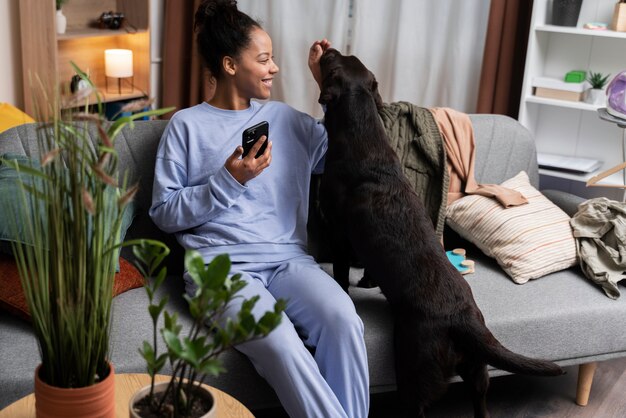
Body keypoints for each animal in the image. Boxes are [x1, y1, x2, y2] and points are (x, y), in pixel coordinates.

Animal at [316, 47, 560, 416]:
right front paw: (369, 281)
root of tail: (465, 322)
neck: (364, 138)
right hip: (477, 372)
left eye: (332, 64)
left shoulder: (338, 232)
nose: (328, 48)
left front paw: (344, 288)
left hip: (415, 369)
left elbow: (342, 273)